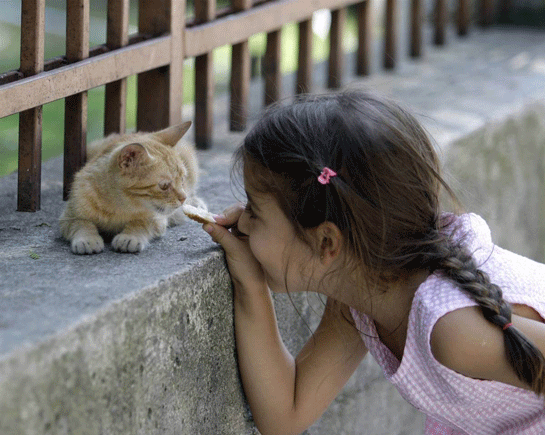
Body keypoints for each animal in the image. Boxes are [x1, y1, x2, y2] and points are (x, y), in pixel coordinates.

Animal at [58, 121, 205, 254]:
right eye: (164, 186)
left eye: (182, 179)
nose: (183, 198)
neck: (117, 208)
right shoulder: (69, 216)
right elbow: (81, 224)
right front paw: (87, 239)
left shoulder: (157, 220)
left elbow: (140, 223)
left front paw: (130, 237)